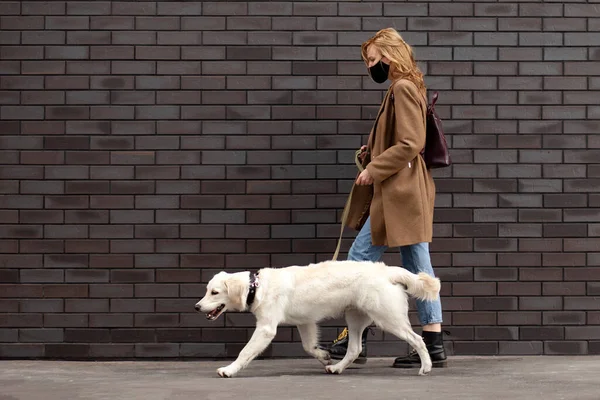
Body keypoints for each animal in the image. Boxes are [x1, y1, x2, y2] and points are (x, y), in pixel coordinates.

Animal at [196, 260, 440, 378]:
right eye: (207, 290)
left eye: (215, 293)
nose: (197, 306)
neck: (256, 287)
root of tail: (387, 271)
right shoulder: (305, 322)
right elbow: (308, 346)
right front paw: (324, 357)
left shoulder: (266, 328)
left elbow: (245, 352)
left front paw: (229, 370)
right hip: (355, 318)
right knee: (354, 349)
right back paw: (337, 368)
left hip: (388, 318)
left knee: (417, 339)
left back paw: (426, 367)